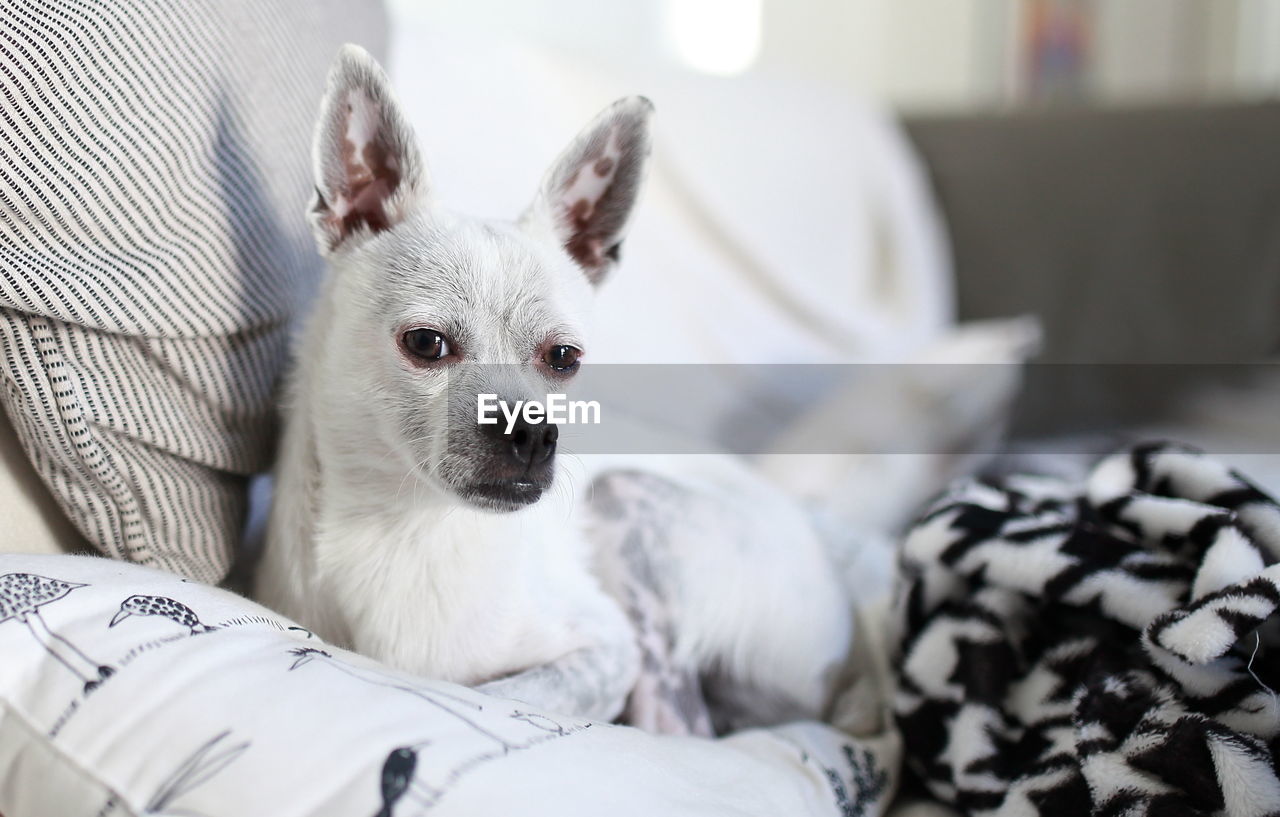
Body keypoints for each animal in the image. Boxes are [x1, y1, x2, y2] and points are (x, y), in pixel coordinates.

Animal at [256, 48, 855, 732]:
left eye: (564, 358)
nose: (532, 433)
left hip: (630, 506)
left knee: (680, 724)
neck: (407, 526)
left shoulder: (609, 651)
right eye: (427, 344)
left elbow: (500, 692)